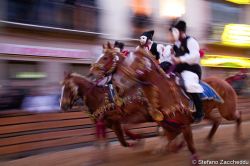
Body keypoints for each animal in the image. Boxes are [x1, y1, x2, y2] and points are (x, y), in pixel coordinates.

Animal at [89, 42, 241, 162]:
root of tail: (225, 82)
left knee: (236, 115)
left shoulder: (144, 115)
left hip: (227, 110)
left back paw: (239, 140)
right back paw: (208, 143)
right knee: (216, 120)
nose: (91, 73)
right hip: (207, 112)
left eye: (105, 57)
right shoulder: (159, 118)